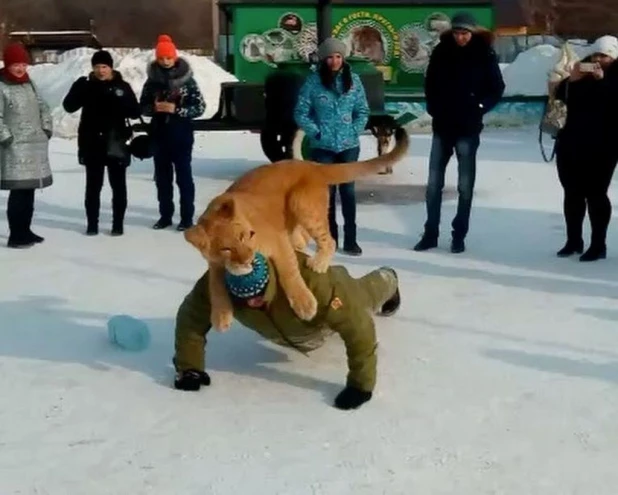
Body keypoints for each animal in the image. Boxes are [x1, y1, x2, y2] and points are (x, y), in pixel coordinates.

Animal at [183, 126, 410, 332]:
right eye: (226, 248)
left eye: (248, 235)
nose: (248, 260)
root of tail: (310, 165)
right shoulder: (214, 263)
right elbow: (215, 287)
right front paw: (220, 317)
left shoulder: (277, 241)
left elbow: (289, 272)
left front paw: (305, 305)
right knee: (303, 240)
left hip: (301, 203)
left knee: (329, 240)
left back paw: (318, 264)